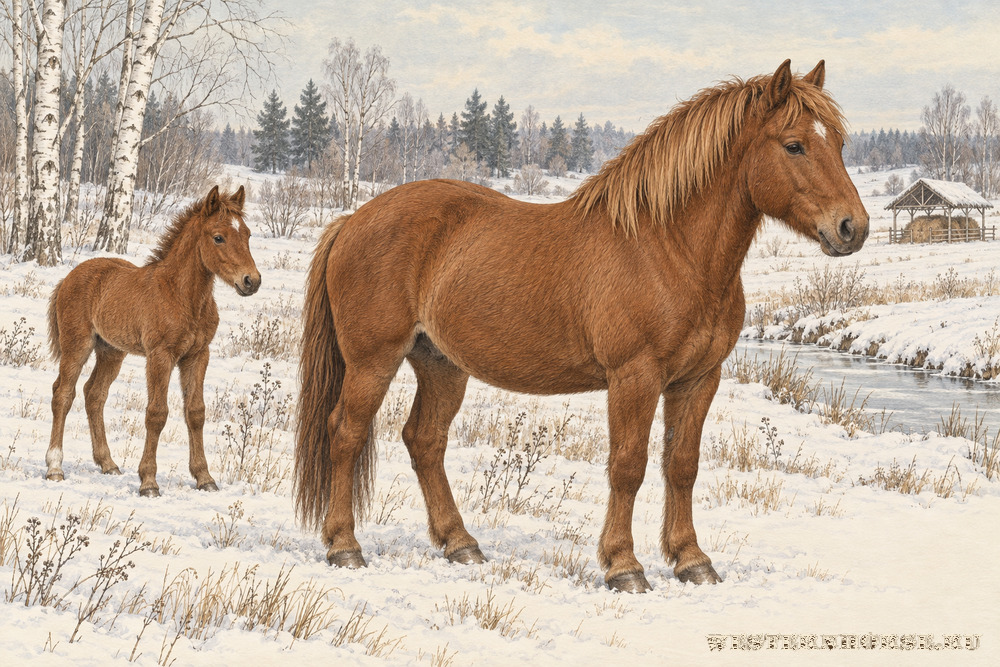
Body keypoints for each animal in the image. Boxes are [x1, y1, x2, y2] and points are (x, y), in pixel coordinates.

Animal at [45, 186, 261, 497]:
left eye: (247, 234)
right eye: (218, 237)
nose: (251, 281)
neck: (182, 296)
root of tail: (69, 277)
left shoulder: (198, 355)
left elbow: (196, 412)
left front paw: (204, 477)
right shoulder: (161, 356)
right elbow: (157, 413)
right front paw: (148, 482)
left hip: (111, 351)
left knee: (94, 394)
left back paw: (108, 463)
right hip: (77, 345)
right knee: (63, 393)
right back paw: (54, 468)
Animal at [295, 60, 868, 592]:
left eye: (839, 142)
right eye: (794, 145)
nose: (852, 228)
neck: (668, 249)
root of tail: (352, 220)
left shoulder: (698, 379)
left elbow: (682, 464)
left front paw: (692, 561)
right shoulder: (634, 377)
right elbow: (628, 466)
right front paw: (624, 566)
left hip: (441, 364)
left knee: (425, 441)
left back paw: (460, 544)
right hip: (373, 361)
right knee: (346, 433)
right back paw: (345, 546)